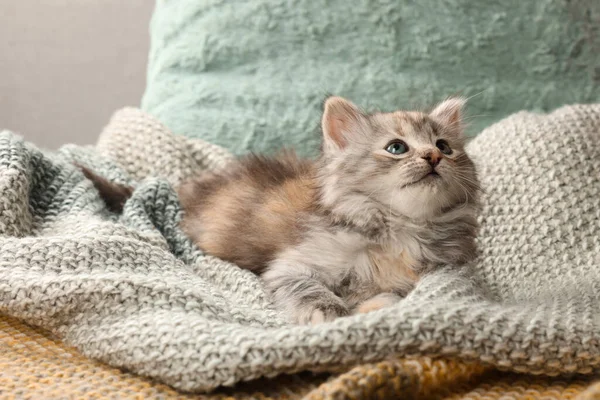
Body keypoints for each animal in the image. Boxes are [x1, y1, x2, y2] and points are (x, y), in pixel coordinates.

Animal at [81, 96, 482, 324]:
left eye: (444, 146)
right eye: (397, 148)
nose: (432, 157)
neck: (400, 227)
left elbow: (393, 295)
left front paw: (372, 306)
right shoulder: (291, 266)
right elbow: (312, 289)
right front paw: (330, 313)